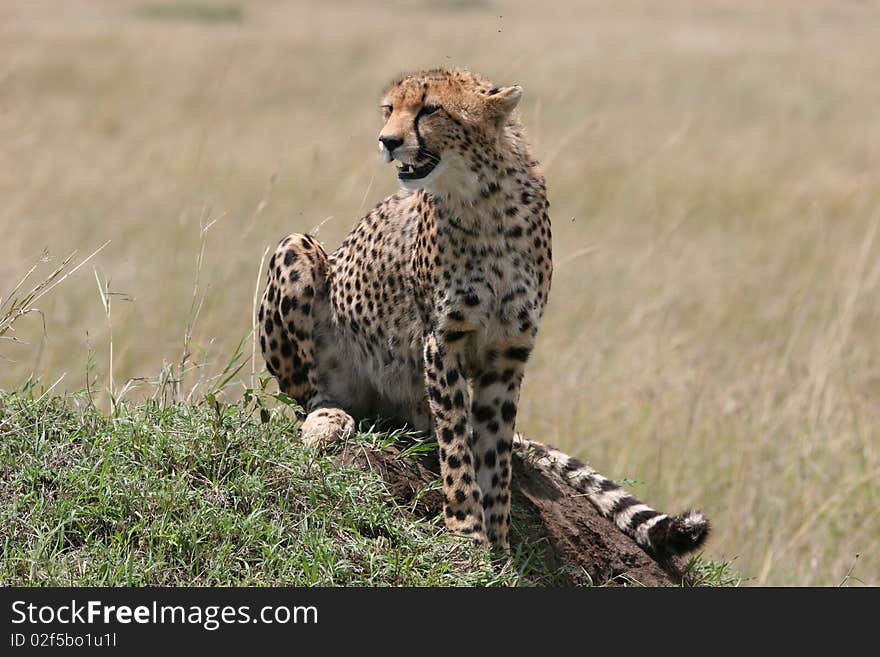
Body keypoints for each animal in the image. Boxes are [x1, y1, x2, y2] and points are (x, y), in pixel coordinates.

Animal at [256, 69, 708, 556]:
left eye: (430, 110)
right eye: (389, 109)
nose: (387, 141)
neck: (483, 198)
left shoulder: (508, 353)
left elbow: (494, 451)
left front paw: (500, 545)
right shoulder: (443, 341)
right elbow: (457, 445)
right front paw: (467, 532)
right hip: (296, 248)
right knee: (310, 394)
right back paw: (328, 420)